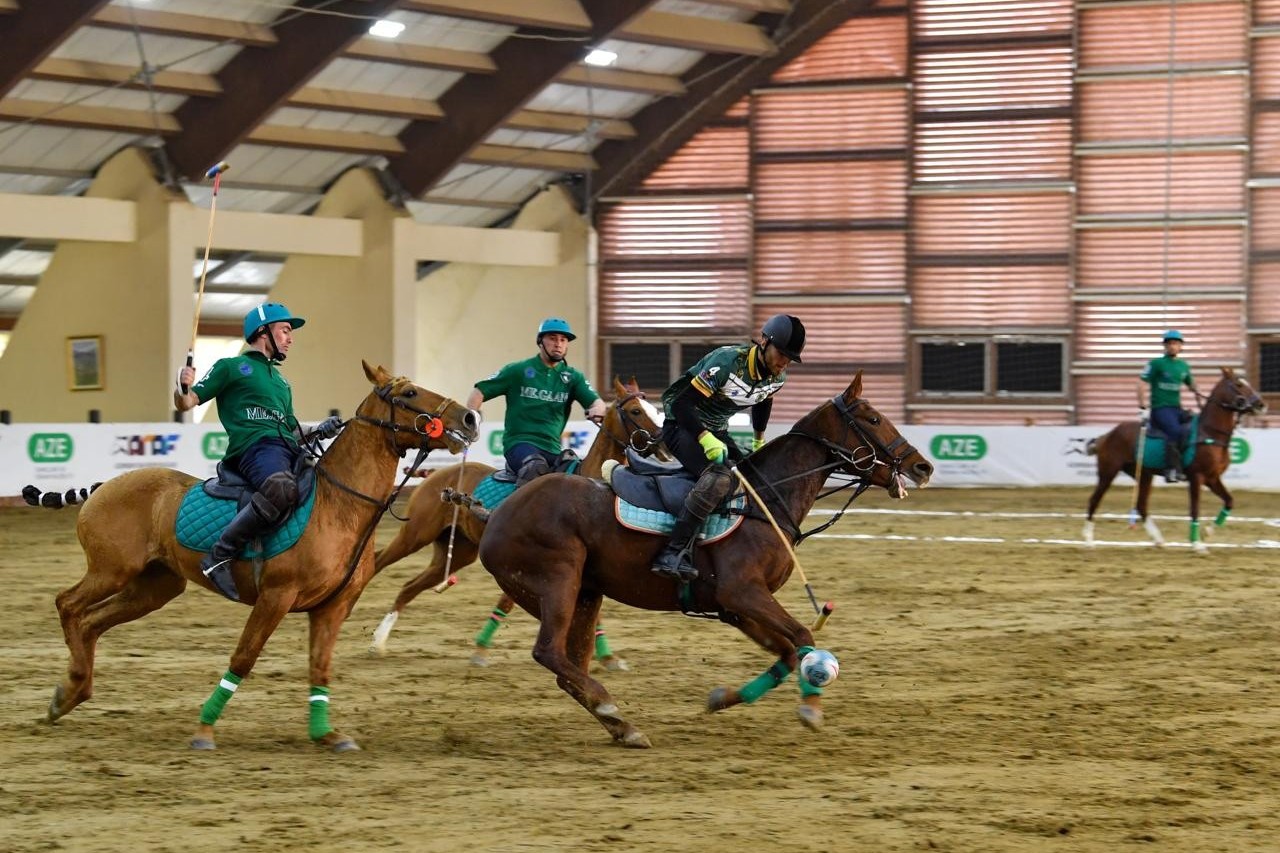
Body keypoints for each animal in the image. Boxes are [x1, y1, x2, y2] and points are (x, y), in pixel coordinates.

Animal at [30, 361, 481, 747]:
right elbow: (244, 658)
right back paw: (72, 681)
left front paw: (327, 734)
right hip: (112, 570)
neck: (339, 503)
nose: (470, 419)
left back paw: (70, 693)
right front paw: (204, 730)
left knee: (91, 621)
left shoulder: (332, 607)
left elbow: (320, 665)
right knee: (68, 604)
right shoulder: (276, 596)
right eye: (409, 392)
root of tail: (104, 485)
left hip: (154, 587)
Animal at [368, 373, 670, 666]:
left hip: (457, 552)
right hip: (415, 533)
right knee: (378, 562)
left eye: (655, 410)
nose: (663, 443)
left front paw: (608, 657)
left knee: (409, 586)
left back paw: (380, 639)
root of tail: (437, 474)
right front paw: (480, 650)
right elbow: (512, 603)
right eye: (635, 410)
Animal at [471, 371, 931, 742]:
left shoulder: (735, 608)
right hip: (558, 580)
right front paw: (811, 706)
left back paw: (622, 726)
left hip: (586, 594)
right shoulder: (743, 592)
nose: (923, 467)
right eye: (873, 419)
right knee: (548, 653)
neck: (764, 500)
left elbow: (786, 653)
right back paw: (610, 707)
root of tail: (495, 517)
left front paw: (723, 697)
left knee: (569, 667)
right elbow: (804, 638)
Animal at [1085, 366, 1264, 550]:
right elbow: (1195, 509)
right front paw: (1196, 543)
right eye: (1238, 384)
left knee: (1141, 505)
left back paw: (1158, 539)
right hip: (1108, 471)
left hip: (1144, 474)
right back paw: (1089, 540)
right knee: (1094, 500)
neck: (1210, 432)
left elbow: (1229, 501)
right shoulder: (1196, 477)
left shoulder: (1212, 478)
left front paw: (1207, 532)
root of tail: (1107, 435)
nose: (1260, 404)